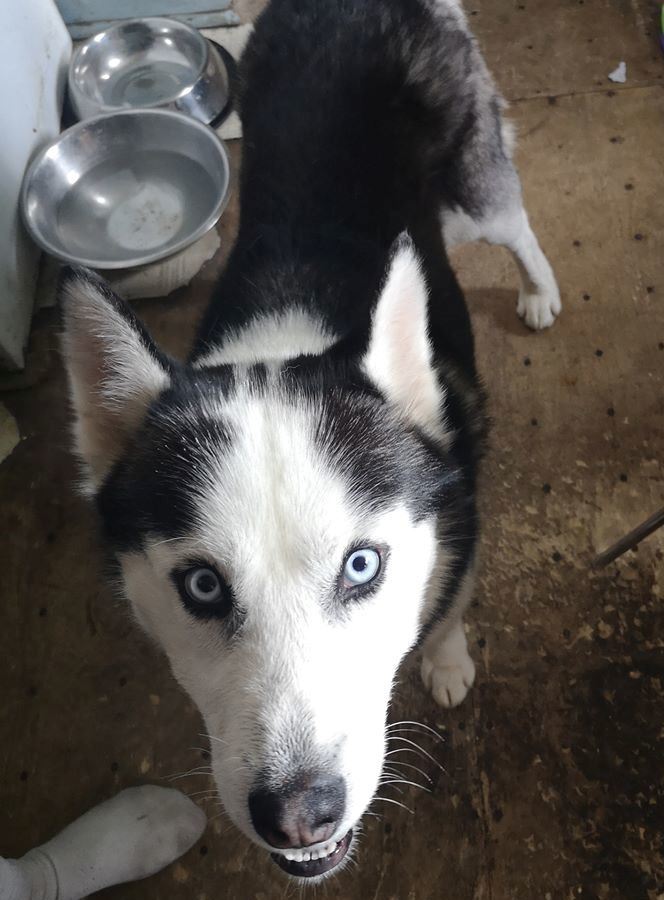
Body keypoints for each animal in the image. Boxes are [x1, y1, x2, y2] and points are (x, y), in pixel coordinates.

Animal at [58, 0, 560, 884]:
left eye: (362, 566)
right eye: (201, 587)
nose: (299, 815)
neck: (285, 338)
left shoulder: (459, 505)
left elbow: (451, 603)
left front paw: (447, 659)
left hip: (475, 188)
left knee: (513, 219)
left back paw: (541, 291)